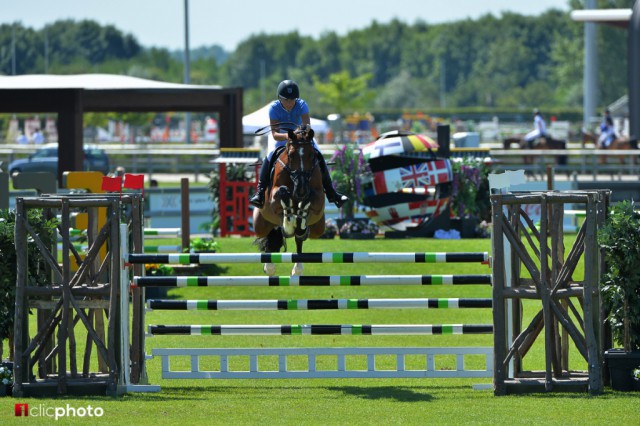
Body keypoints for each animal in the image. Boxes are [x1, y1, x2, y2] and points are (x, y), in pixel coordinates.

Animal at [252, 125, 328, 276]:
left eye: (311, 155)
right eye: (291, 155)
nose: (301, 189)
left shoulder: (318, 198)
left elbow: (310, 199)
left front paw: (300, 215)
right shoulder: (273, 199)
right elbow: (282, 193)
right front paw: (288, 222)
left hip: (318, 228)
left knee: (299, 239)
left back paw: (298, 267)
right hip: (260, 225)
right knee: (269, 237)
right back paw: (269, 267)